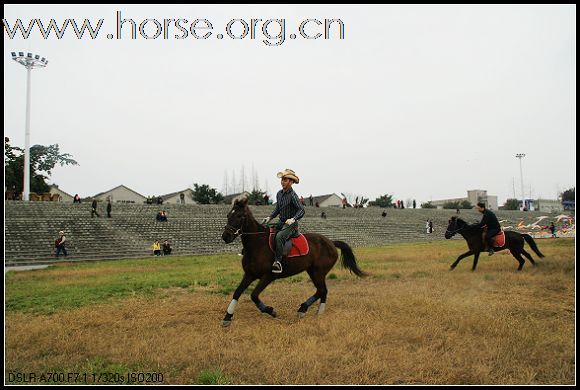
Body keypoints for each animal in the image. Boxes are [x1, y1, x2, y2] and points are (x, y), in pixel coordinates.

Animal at [222, 197, 368, 328]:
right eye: (228, 215)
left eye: (240, 216)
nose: (225, 237)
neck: (257, 244)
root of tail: (331, 242)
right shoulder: (249, 274)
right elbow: (237, 293)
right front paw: (227, 317)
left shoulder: (269, 276)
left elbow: (254, 295)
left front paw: (271, 311)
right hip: (313, 272)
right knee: (322, 291)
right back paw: (316, 311)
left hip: (318, 272)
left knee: (322, 290)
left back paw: (304, 309)